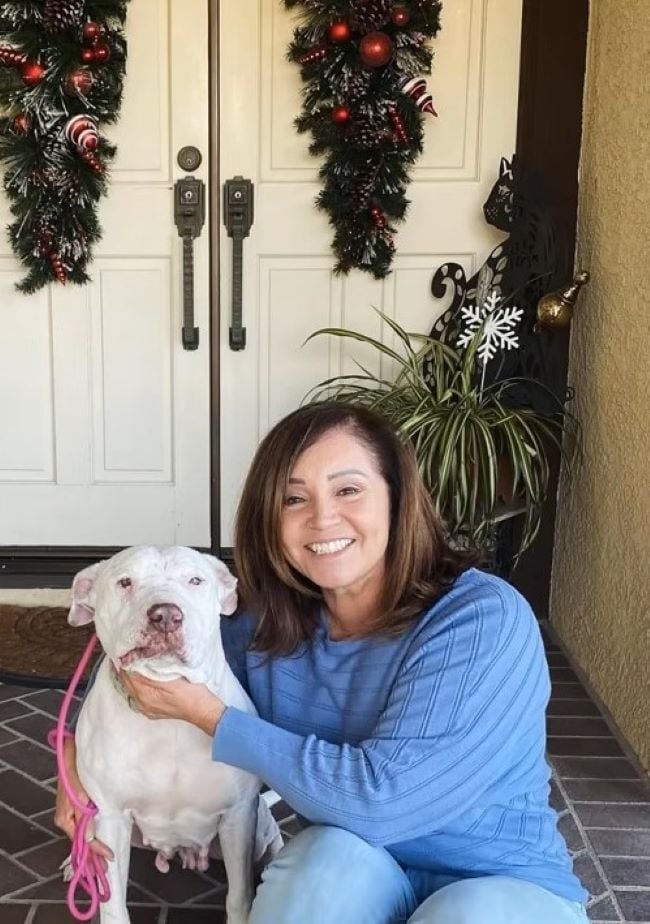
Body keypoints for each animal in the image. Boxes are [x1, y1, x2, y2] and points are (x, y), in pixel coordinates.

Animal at [69, 544, 280, 920]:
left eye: (195, 580)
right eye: (125, 581)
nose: (166, 615)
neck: (168, 721)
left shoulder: (238, 816)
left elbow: (239, 895)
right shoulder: (111, 817)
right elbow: (113, 903)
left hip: (255, 828)